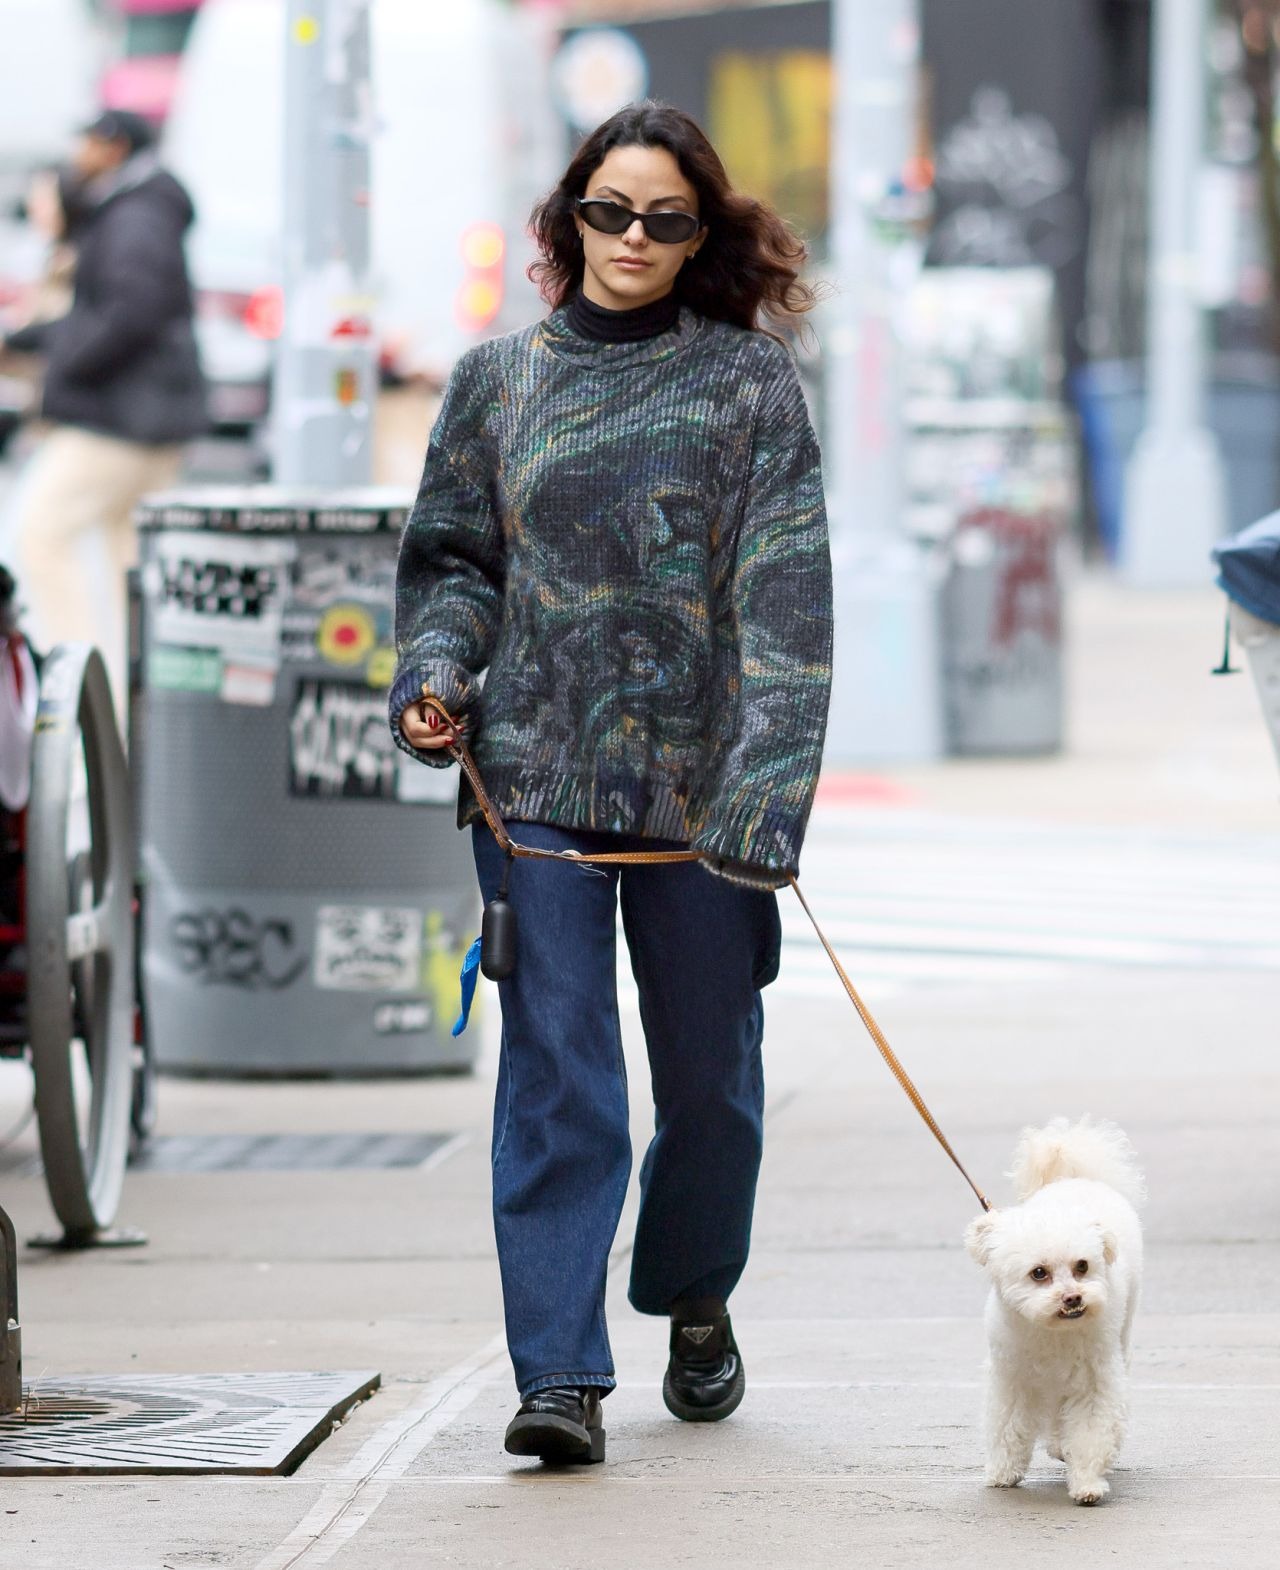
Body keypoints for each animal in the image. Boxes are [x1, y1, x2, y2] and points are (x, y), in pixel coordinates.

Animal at [967, 1117, 1143, 1507]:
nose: (1073, 1298)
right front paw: (1002, 1472)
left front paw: (1087, 1484)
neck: (1051, 1333)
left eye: (1082, 1266)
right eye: (1039, 1273)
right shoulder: (1013, 1378)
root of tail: (1076, 1178)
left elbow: (1091, 1432)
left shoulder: (1092, 1382)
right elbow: (1008, 1425)